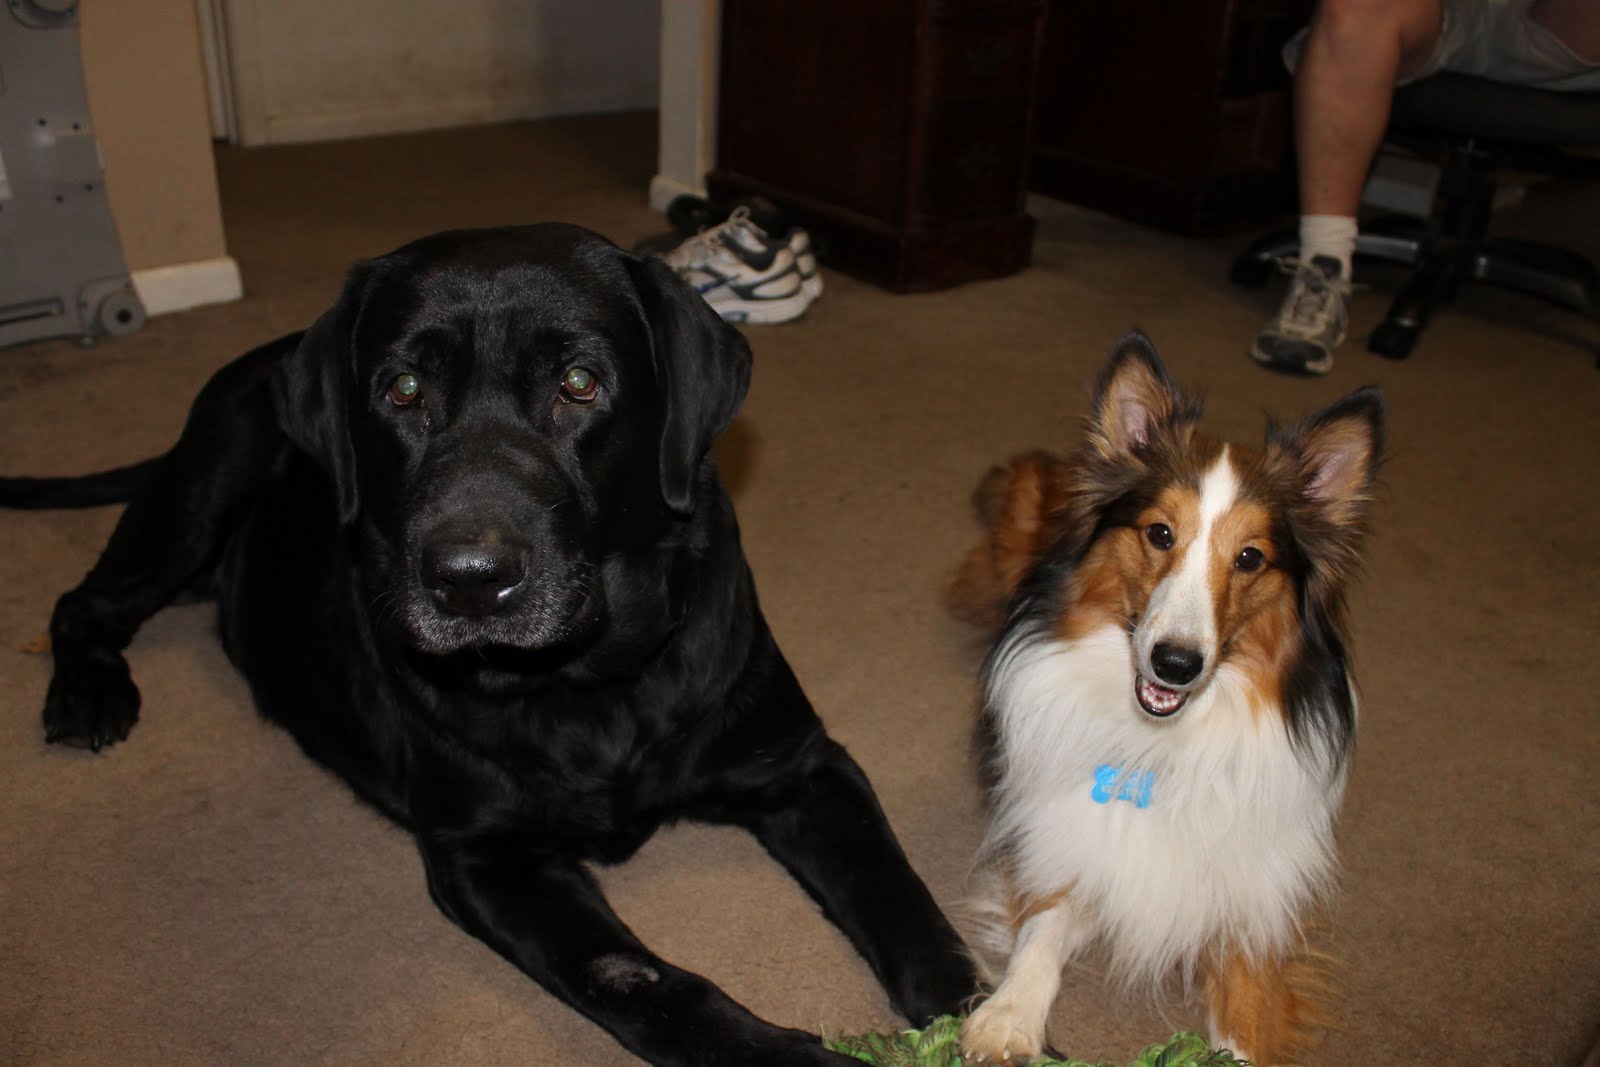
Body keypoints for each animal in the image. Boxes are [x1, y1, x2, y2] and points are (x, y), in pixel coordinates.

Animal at [0, 224, 976, 1066]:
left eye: (579, 382)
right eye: (401, 390)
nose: (467, 579)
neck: (591, 684)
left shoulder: (802, 764)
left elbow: (904, 896)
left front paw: (980, 1013)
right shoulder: (485, 855)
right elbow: (642, 979)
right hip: (198, 493)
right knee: (84, 600)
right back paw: (87, 693)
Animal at [944, 333, 1384, 1065]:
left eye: (1251, 557)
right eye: (1159, 533)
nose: (1174, 664)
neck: (1167, 744)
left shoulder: (1253, 909)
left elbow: (1245, 1023)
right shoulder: (1062, 845)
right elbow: (1042, 932)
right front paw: (1008, 1016)